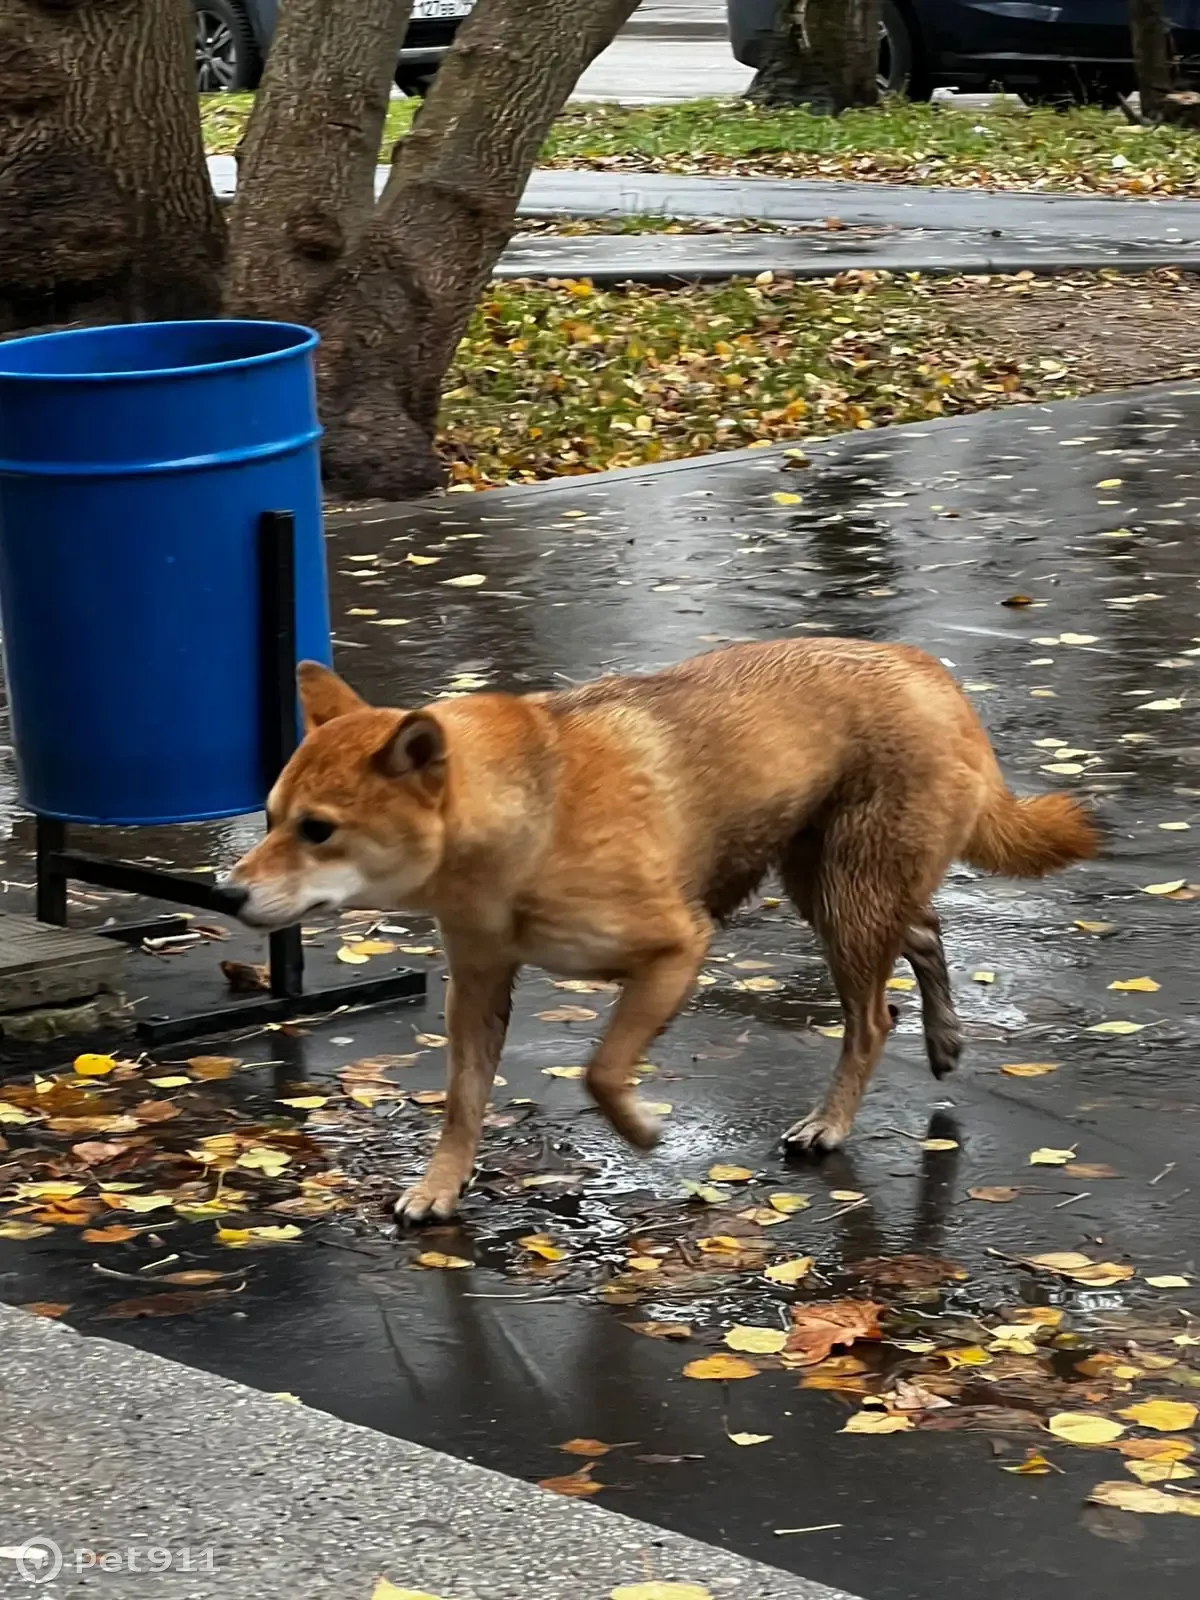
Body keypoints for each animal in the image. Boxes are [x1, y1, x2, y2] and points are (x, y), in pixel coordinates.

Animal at [227, 640, 1100, 1222]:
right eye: (270, 817)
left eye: (318, 830)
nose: (228, 895)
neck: (530, 815)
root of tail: (925, 668)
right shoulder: (476, 986)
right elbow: (463, 1101)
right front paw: (443, 1184)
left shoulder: (678, 951)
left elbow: (601, 1071)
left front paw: (642, 1132)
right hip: (831, 888)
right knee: (920, 932)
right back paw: (944, 1037)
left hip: (849, 901)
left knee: (872, 1019)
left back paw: (832, 1121)